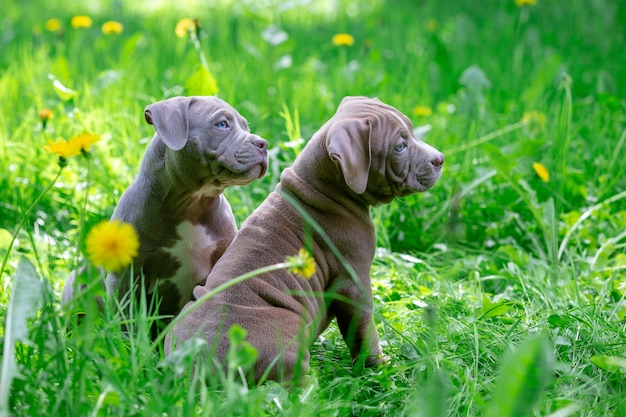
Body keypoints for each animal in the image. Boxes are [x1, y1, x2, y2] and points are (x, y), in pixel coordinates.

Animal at [62, 95, 266, 318]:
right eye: (222, 124)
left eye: (246, 127)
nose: (263, 143)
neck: (193, 204)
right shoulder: (125, 277)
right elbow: (126, 319)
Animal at [163, 96, 442, 382]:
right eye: (400, 146)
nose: (440, 159)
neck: (318, 188)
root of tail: (202, 369)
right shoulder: (353, 281)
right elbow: (364, 332)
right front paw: (382, 367)